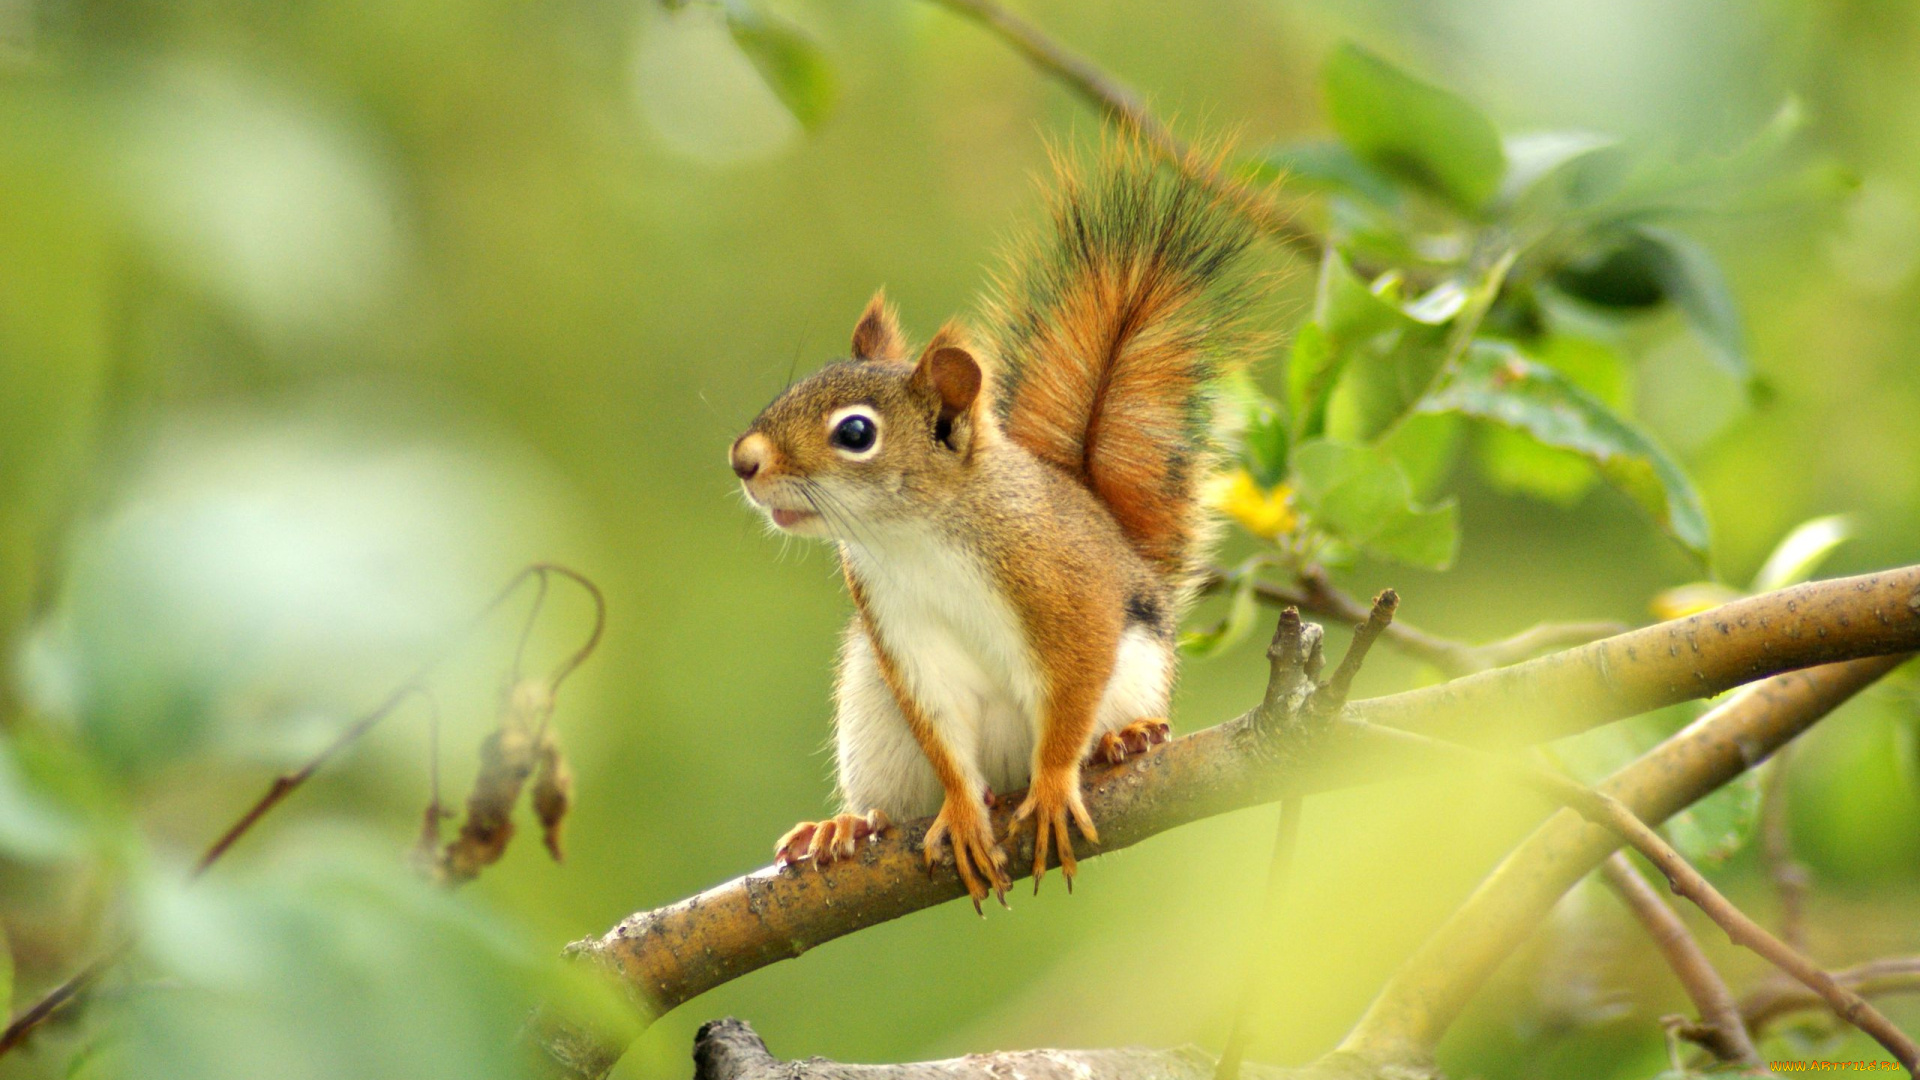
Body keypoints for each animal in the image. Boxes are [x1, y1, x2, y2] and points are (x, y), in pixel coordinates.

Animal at [725, 151, 1251, 903]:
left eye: (855, 433)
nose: (743, 460)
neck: (914, 536)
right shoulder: (900, 630)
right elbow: (943, 732)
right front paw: (963, 812)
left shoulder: (1067, 590)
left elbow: (1071, 690)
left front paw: (1056, 783)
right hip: (871, 719)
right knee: (894, 799)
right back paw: (848, 825)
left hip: (1137, 672)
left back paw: (1124, 740)